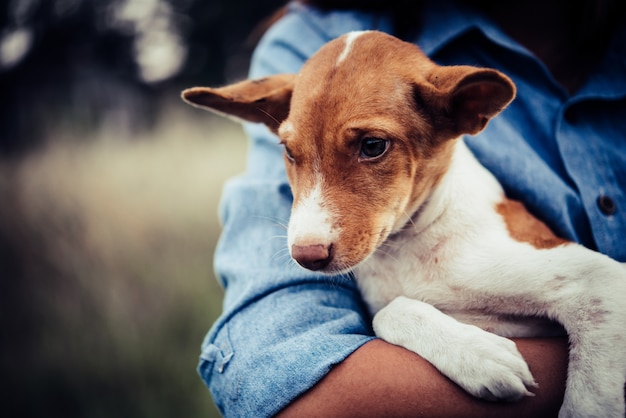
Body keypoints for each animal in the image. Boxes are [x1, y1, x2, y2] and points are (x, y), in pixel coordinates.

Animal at [182, 30, 624, 418]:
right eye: (289, 152)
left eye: (373, 146)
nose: (305, 255)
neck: (411, 248)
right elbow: (388, 312)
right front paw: (478, 354)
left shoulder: (600, 282)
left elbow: (588, 401)